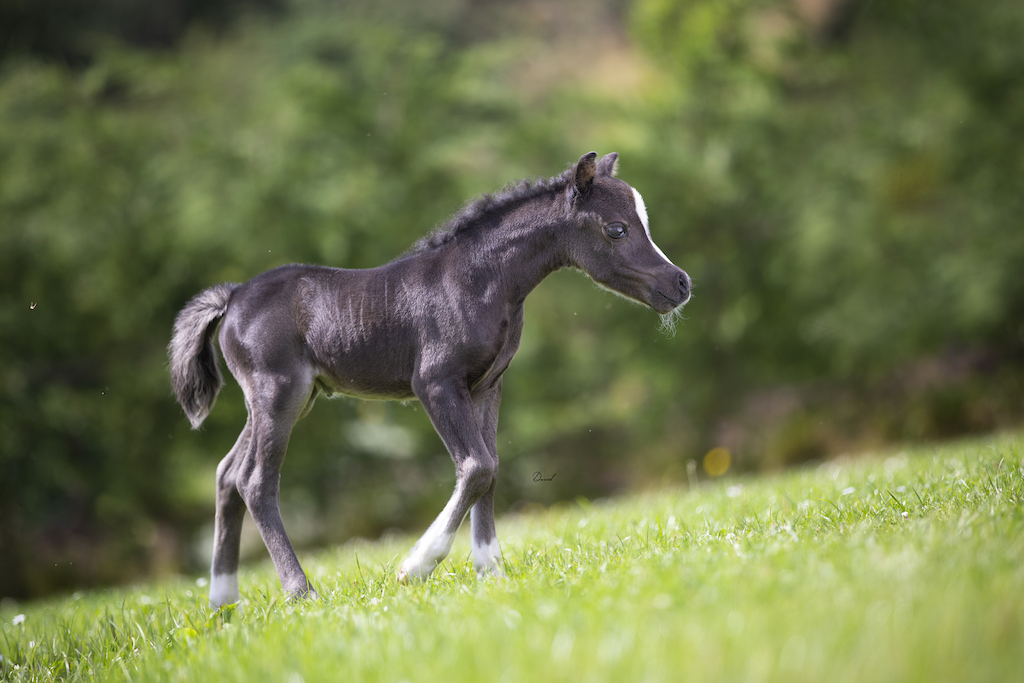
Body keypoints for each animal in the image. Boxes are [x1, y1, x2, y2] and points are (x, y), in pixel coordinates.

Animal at [169, 152, 691, 608]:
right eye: (617, 229)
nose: (680, 283)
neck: (482, 281)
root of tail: (232, 296)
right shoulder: (435, 383)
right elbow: (477, 466)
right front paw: (416, 567)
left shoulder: (487, 386)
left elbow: (493, 468)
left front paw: (491, 571)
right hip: (278, 392)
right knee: (256, 481)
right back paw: (301, 592)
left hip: (288, 399)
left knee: (227, 474)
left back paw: (223, 603)